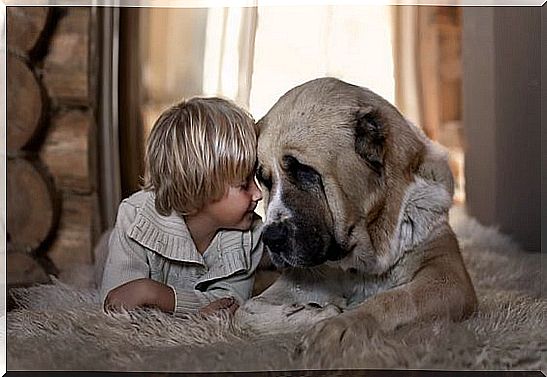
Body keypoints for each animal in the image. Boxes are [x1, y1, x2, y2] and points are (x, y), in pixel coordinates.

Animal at [238, 77, 478, 358]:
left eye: (304, 171)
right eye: (264, 179)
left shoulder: (448, 277)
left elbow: (397, 298)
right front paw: (318, 313)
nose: (271, 238)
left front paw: (342, 323)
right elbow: (244, 313)